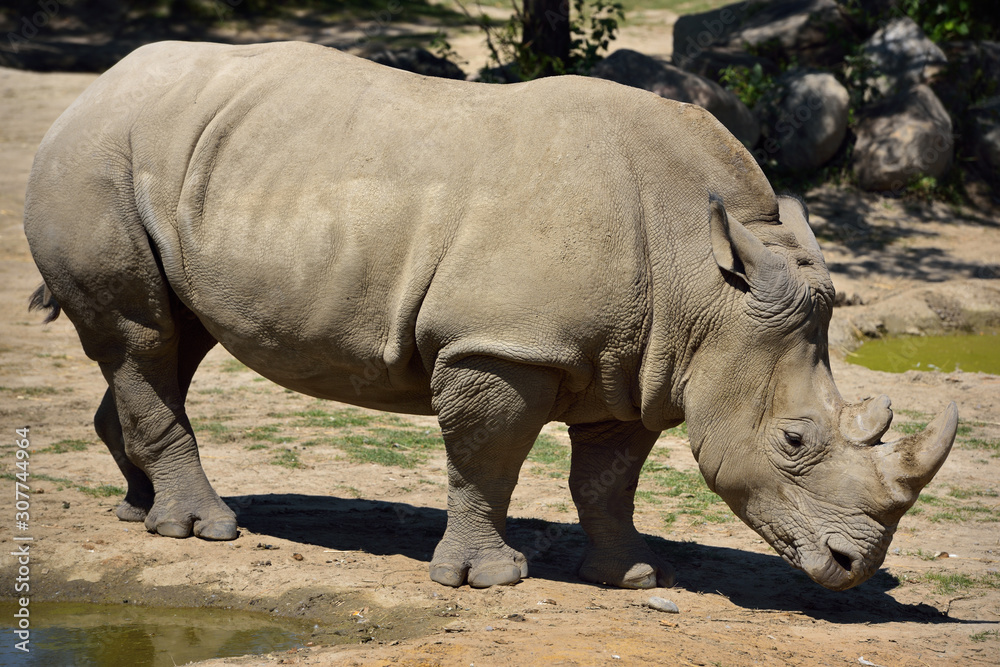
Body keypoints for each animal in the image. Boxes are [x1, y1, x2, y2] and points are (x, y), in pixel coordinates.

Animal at [25, 41, 957, 591]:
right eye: (795, 439)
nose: (853, 565)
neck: (706, 281)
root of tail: (89, 91)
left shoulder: (641, 361)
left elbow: (607, 479)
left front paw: (632, 575)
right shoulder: (502, 347)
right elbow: (487, 460)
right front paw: (487, 580)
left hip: (185, 164)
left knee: (169, 340)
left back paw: (139, 510)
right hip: (95, 159)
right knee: (144, 337)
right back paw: (205, 530)